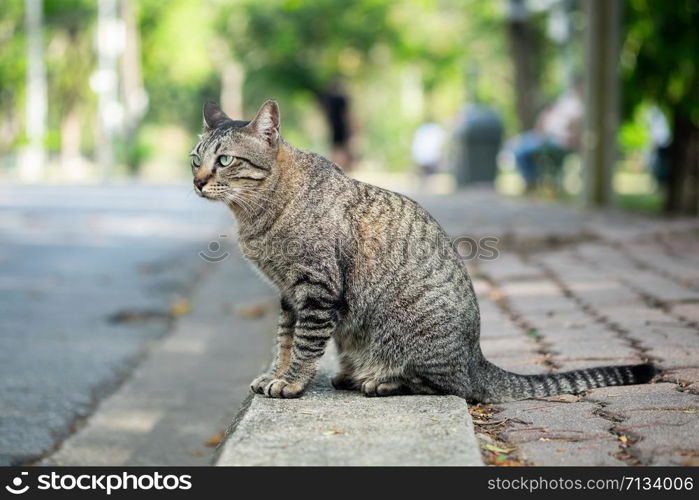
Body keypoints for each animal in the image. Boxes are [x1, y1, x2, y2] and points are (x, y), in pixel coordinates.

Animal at [190, 100, 656, 402]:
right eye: (195, 157)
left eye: (226, 160)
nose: (197, 180)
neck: (256, 215)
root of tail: (476, 358)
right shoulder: (289, 294)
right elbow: (284, 340)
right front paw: (275, 373)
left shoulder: (316, 290)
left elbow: (304, 345)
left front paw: (291, 382)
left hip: (415, 339)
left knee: (453, 388)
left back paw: (379, 381)